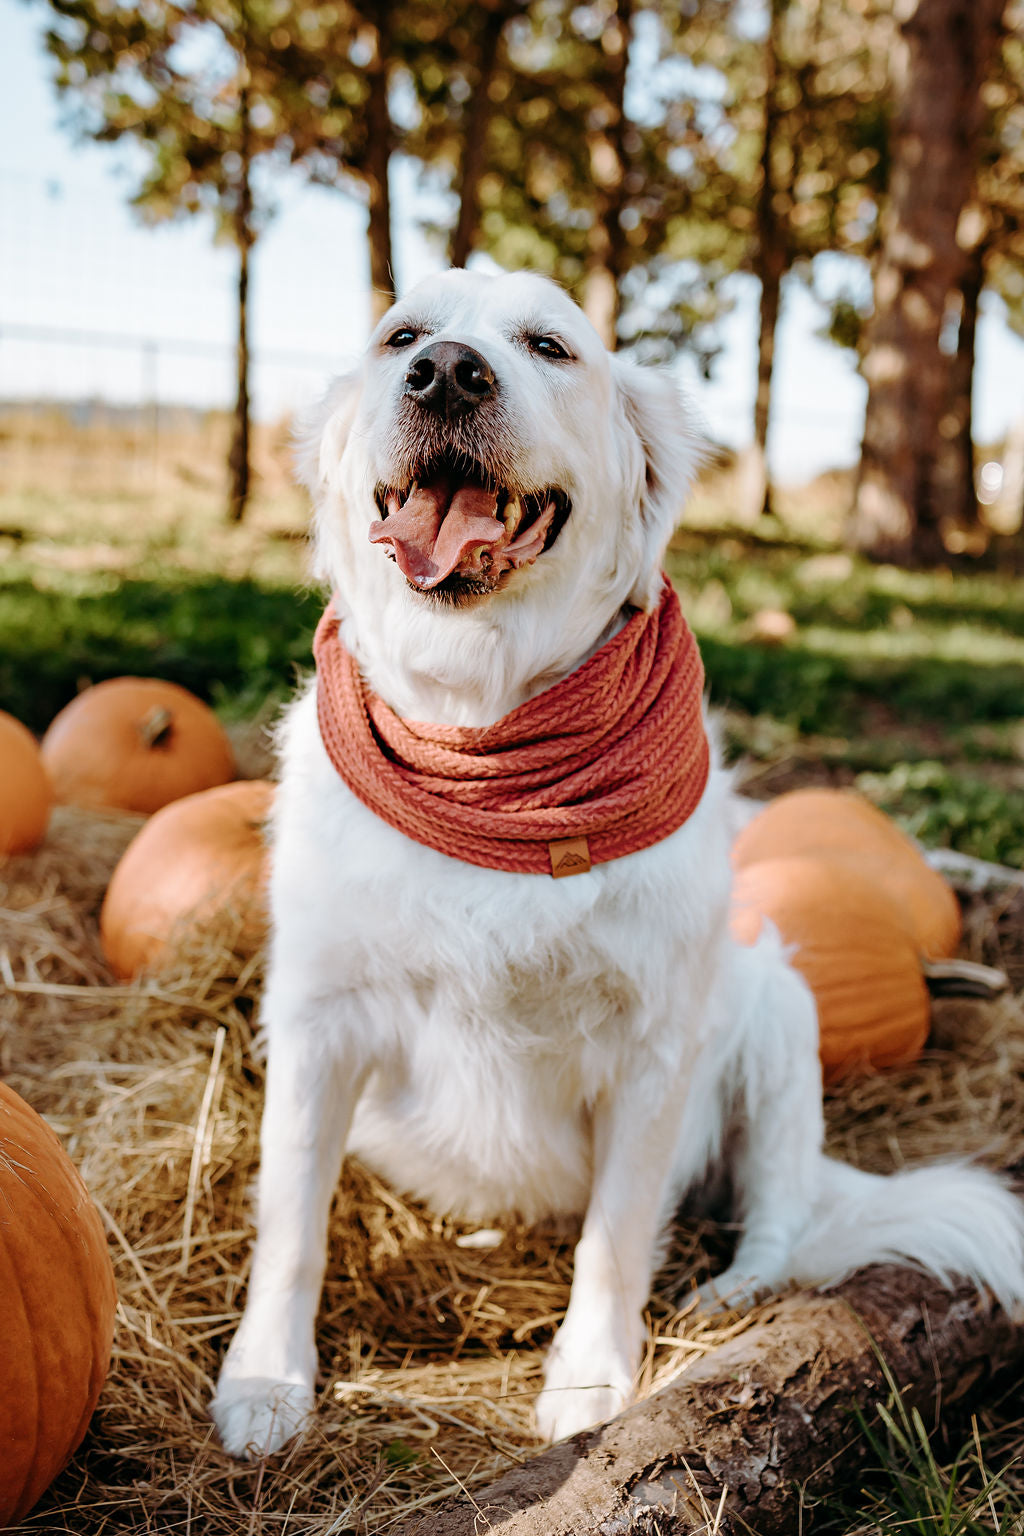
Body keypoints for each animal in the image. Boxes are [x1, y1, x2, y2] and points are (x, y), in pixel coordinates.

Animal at [211, 270, 1024, 1456]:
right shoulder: (317, 1020)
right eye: (402, 336)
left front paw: (590, 1381)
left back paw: (736, 1296)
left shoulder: (653, 1046)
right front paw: (265, 1380)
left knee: (782, 1209)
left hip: (777, 1005)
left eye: (550, 347)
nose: (446, 373)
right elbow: (291, 1223)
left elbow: (616, 1233)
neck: (486, 735)